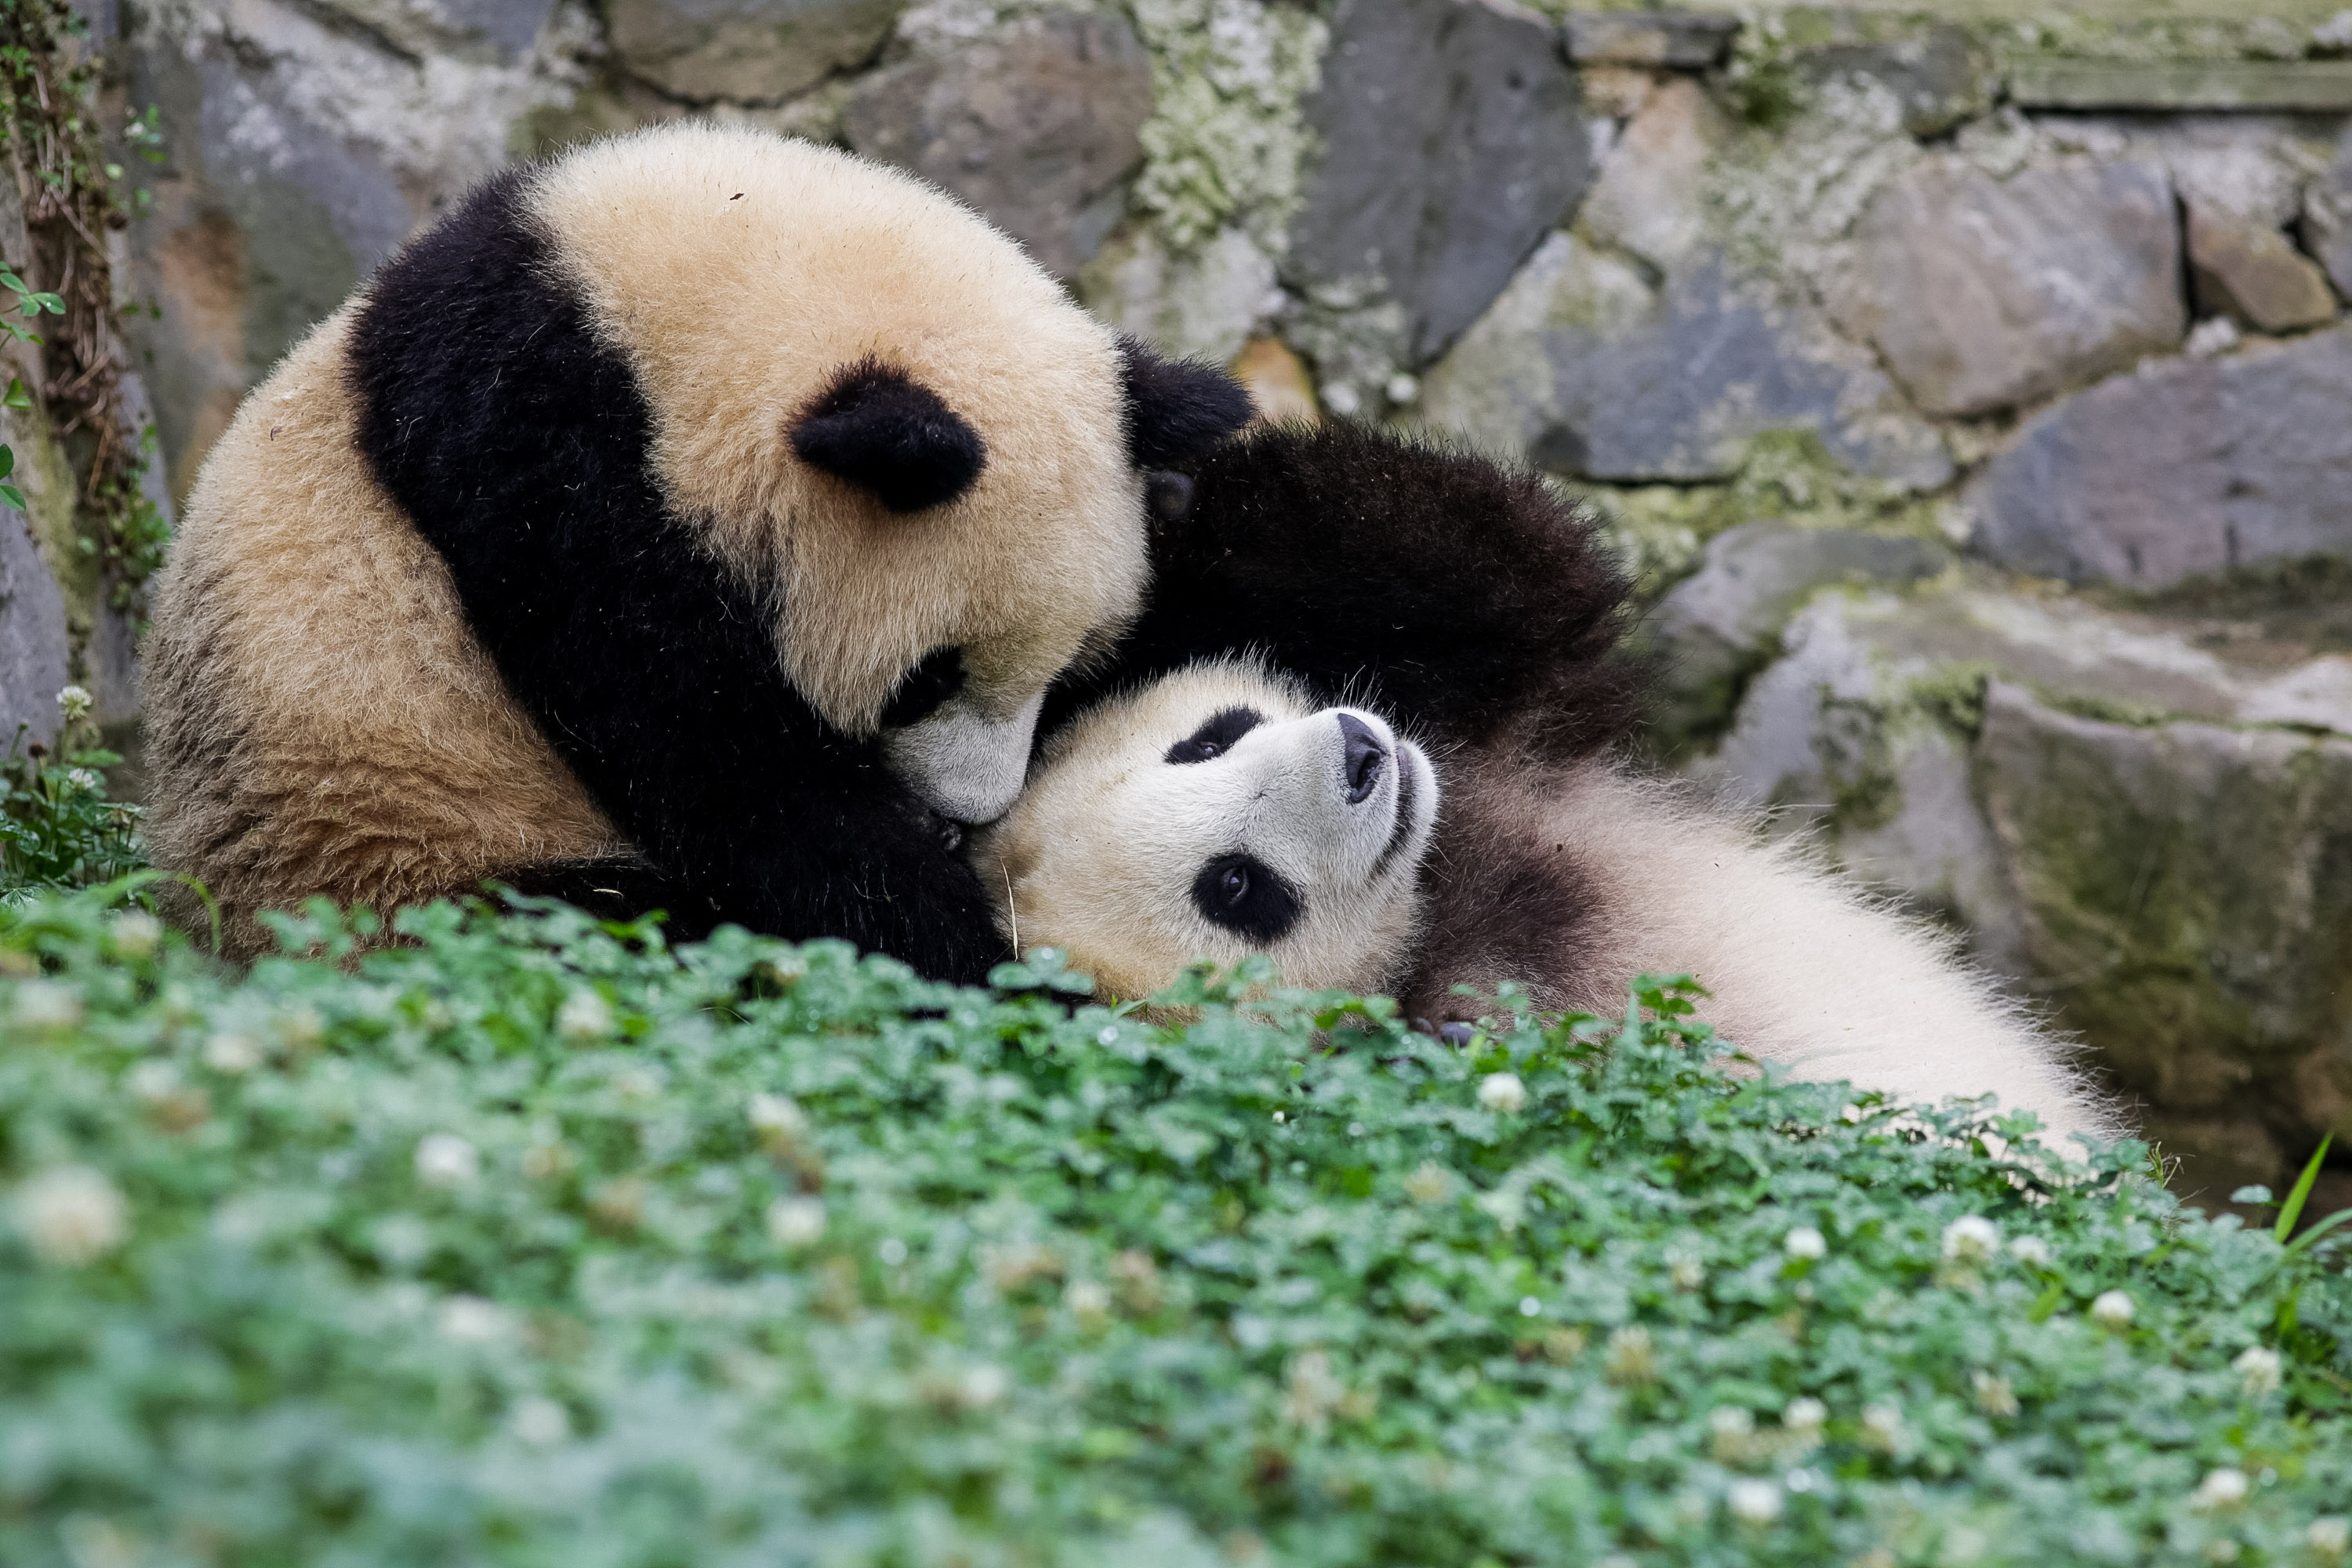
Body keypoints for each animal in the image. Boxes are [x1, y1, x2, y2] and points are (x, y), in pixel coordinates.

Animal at [141, 123, 1256, 974]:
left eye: (1071, 667)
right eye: (927, 679)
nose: (971, 815)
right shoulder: (540, 458)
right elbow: (722, 762)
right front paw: (966, 951)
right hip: (389, 843)